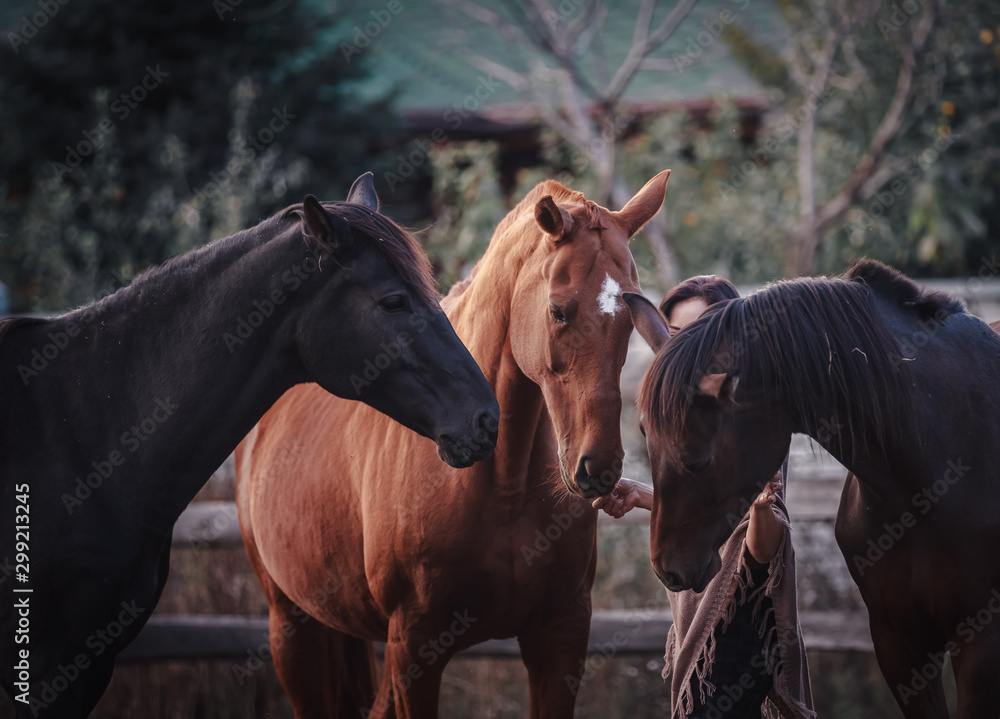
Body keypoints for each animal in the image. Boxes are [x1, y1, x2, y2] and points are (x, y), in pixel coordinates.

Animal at [235, 170, 672, 718]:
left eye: (634, 312)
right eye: (557, 311)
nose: (599, 467)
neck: (500, 481)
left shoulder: (561, 635)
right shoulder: (414, 646)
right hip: (291, 628)